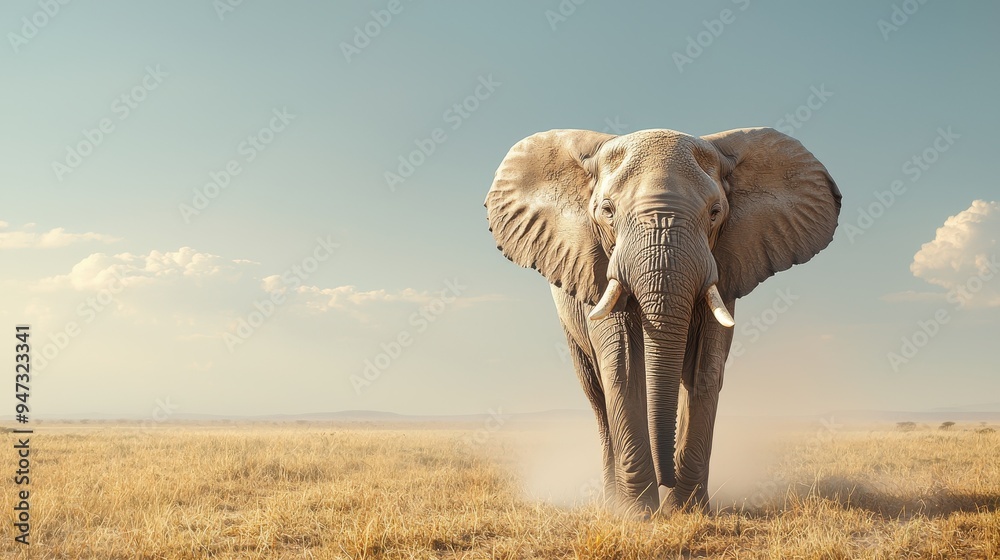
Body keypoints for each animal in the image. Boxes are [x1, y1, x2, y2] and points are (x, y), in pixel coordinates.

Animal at [484, 127, 841, 515]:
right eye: (607, 211)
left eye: (715, 213)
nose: (663, 478)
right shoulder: (597, 269)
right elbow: (623, 367)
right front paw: (637, 514)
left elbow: (705, 369)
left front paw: (687, 510)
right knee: (597, 397)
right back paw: (611, 500)